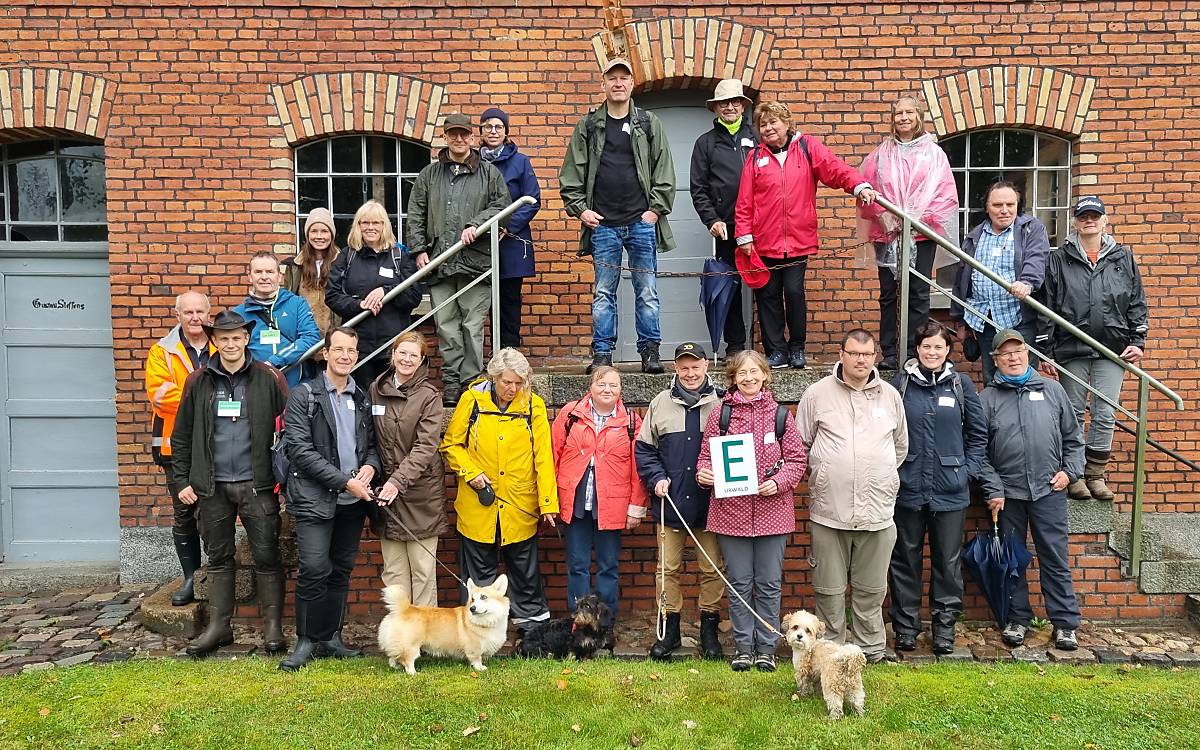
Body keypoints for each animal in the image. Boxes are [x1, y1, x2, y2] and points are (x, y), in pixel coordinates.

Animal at [379, 573, 511, 672]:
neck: (485, 620)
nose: (472, 608)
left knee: (392, 657)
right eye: (472, 600)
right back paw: (414, 673)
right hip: (411, 646)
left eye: (484, 597)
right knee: (407, 661)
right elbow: (477, 659)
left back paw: (395, 667)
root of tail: (404, 608)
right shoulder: (474, 648)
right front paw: (480, 668)